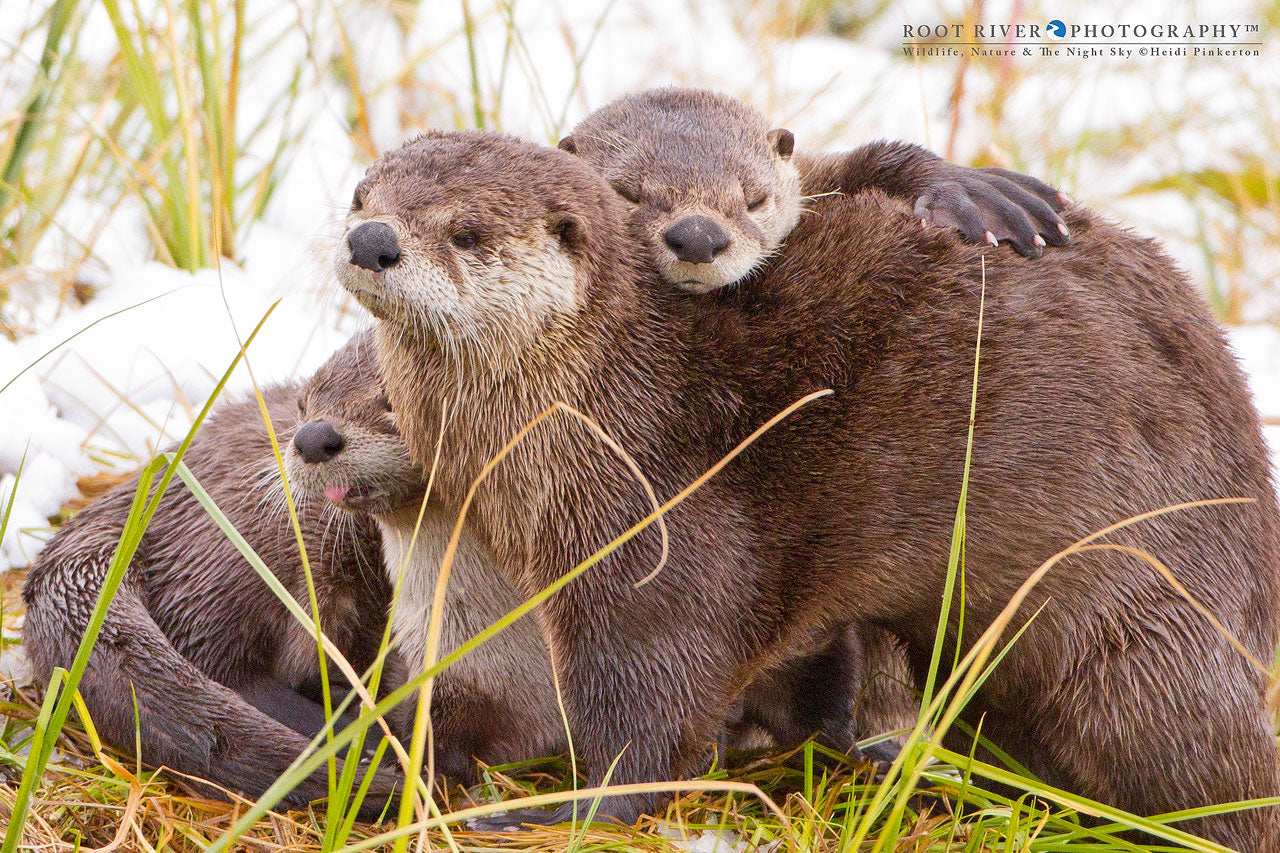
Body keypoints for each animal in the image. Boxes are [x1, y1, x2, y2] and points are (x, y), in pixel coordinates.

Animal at [21, 342, 402, 817]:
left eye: (389, 402)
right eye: (304, 404)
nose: (312, 438)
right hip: (252, 537)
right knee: (215, 652)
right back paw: (368, 737)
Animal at [335, 131, 1280, 849]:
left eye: (466, 232)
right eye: (359, 193)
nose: (372, 240)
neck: (602, 400)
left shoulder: (657, 531)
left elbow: (652, 709)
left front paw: (565, 808)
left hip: (1134, 621)